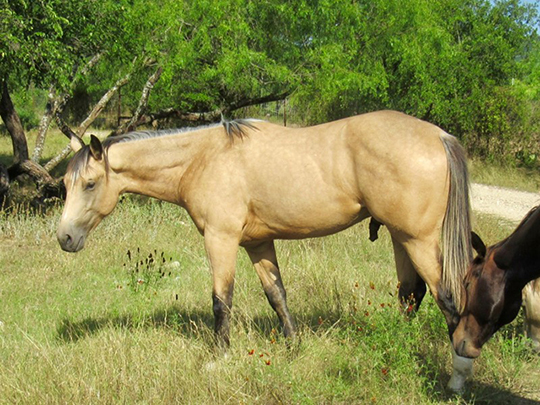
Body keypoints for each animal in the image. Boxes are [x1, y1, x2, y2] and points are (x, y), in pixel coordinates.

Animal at [58, 111, 472, 392]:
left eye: (90, 183)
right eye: (65, 183)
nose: (64, 237)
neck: (205, 157)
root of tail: (439, 135)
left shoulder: (220, 239)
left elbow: (221, 301)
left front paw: (219, 358)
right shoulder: (257, 243)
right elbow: (277, 295)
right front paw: (293, 348)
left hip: (418, 240)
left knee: (449, 299)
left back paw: (457, 379)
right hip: (401, 238)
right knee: (411, 293)